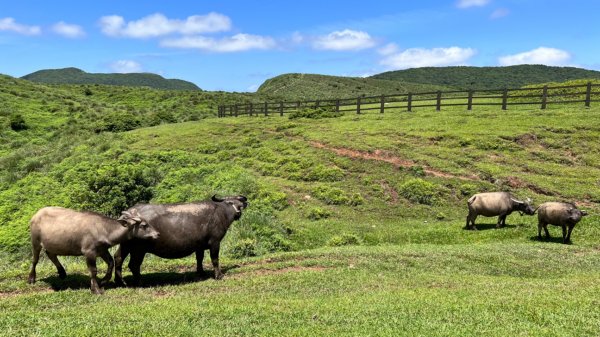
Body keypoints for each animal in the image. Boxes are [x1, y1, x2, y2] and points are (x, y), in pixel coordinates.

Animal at [27, 206, 159, 292]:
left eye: (147, 223)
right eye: (144, 225)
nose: (157, 234)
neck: (103, 229)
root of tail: (36, 214)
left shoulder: (102, 250)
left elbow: (111, 263)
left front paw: (103, 281)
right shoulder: (89, 252)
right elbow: (93, 270)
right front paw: (95, 288)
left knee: (51, 254)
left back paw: (62, 272)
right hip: (35, 241)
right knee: (35, 260)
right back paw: (31, 278)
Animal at [113, 193, 247, 284]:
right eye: (235, 201)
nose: (245, 201)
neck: (221, 212)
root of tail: (127, 215)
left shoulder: (199, 245)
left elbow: (199, 259)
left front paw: (201, 273)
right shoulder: (215, 242)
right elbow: (215, 259)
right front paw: (219, 275)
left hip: (126, 246)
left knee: (118, 257)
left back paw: (120, 281)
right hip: (138, 250)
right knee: (133, 265)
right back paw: (140, 281)